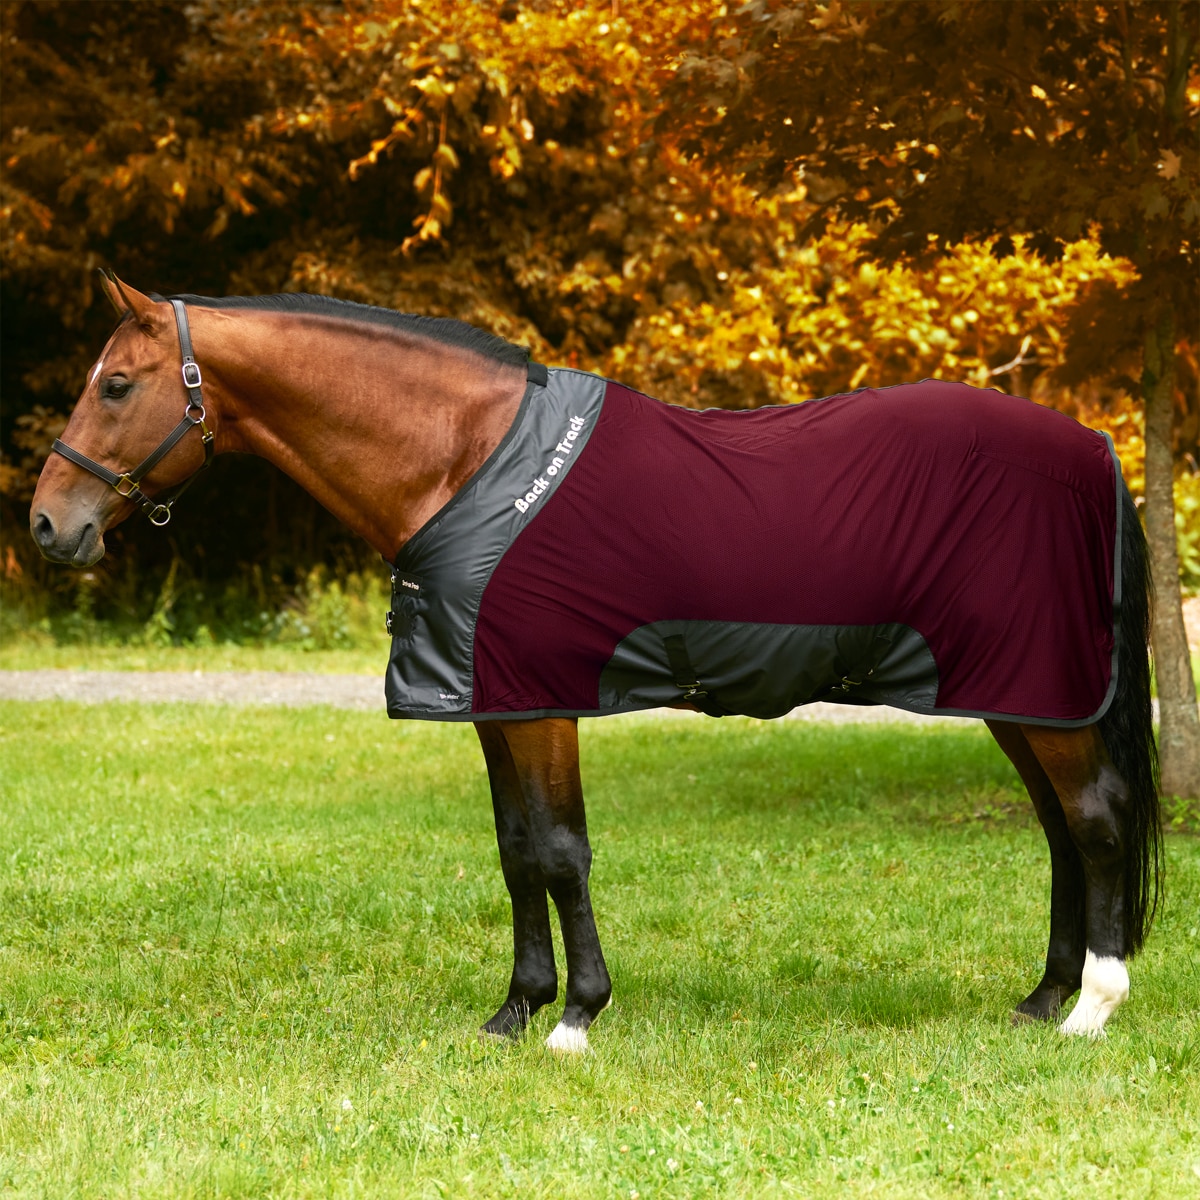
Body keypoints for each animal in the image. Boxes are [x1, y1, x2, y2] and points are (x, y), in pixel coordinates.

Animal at [30, 273, 1162, 1051]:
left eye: (116, 385)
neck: (467, 463)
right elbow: (515, 851)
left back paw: (1092, 1008)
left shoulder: (543, 705)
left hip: (1037, 688)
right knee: (1064, 832)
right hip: (1020, 694)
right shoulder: (492, 702)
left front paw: (575, 1017)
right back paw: (1044, 996)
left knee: (1097, 819)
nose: (49, 525)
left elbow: (560, 849)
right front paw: (515, 1011)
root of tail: (1092, 448)